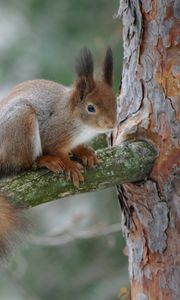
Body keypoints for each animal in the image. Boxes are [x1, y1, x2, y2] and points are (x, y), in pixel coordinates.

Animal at [0, 47, 116, 258]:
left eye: (115, 101)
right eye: (91, 108)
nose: (112, 124)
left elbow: (76, 148)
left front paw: (85, 153)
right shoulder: (53, 132)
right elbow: (56, 149)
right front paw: (69, 165)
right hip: (21, 123)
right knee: (24, 164)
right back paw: (46, 161)